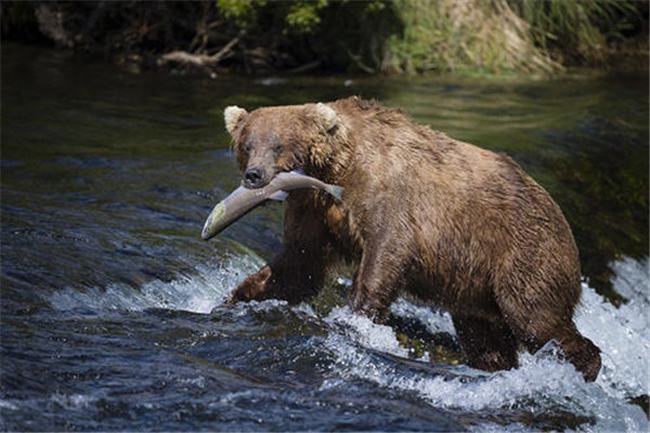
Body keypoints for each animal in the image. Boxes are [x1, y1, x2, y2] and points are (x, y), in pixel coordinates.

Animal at [221, 96, 596, 380]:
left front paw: (356, 316)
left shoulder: (387, 194)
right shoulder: (313, 209)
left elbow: (386, 250)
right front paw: (238, 296)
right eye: (247, 145)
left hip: (522, 249)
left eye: (278, 144)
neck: (335, 171)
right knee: (485, 339)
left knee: (535, 317)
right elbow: (299, 266)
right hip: (475, 286)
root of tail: (564, 221)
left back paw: (579, 367)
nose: (254, 175)